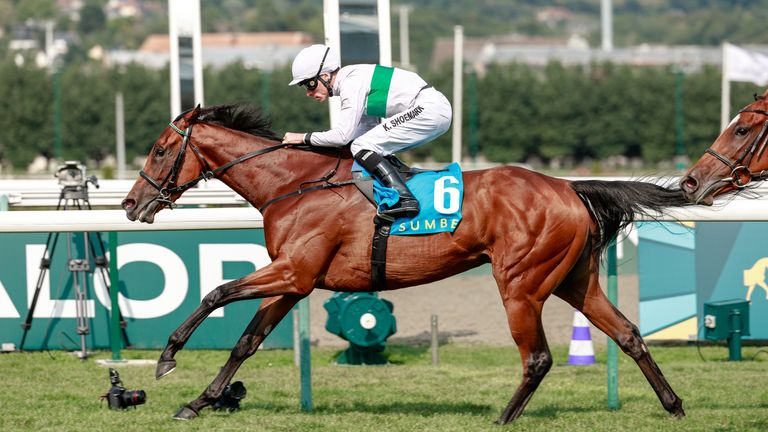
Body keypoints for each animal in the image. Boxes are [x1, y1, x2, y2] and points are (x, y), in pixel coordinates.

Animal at [121, 104, 688, 422]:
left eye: (159, 150)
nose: (130, 204)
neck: (294, 184)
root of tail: (569, 187)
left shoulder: (293, 272)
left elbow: (215, 293)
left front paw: (167, 358)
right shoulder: (294, 281)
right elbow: (246, 342)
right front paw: (201, 401)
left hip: (521, 284)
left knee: (538, 358)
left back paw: (503, 419)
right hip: (575, 279)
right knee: (628, 333)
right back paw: (674, 404)